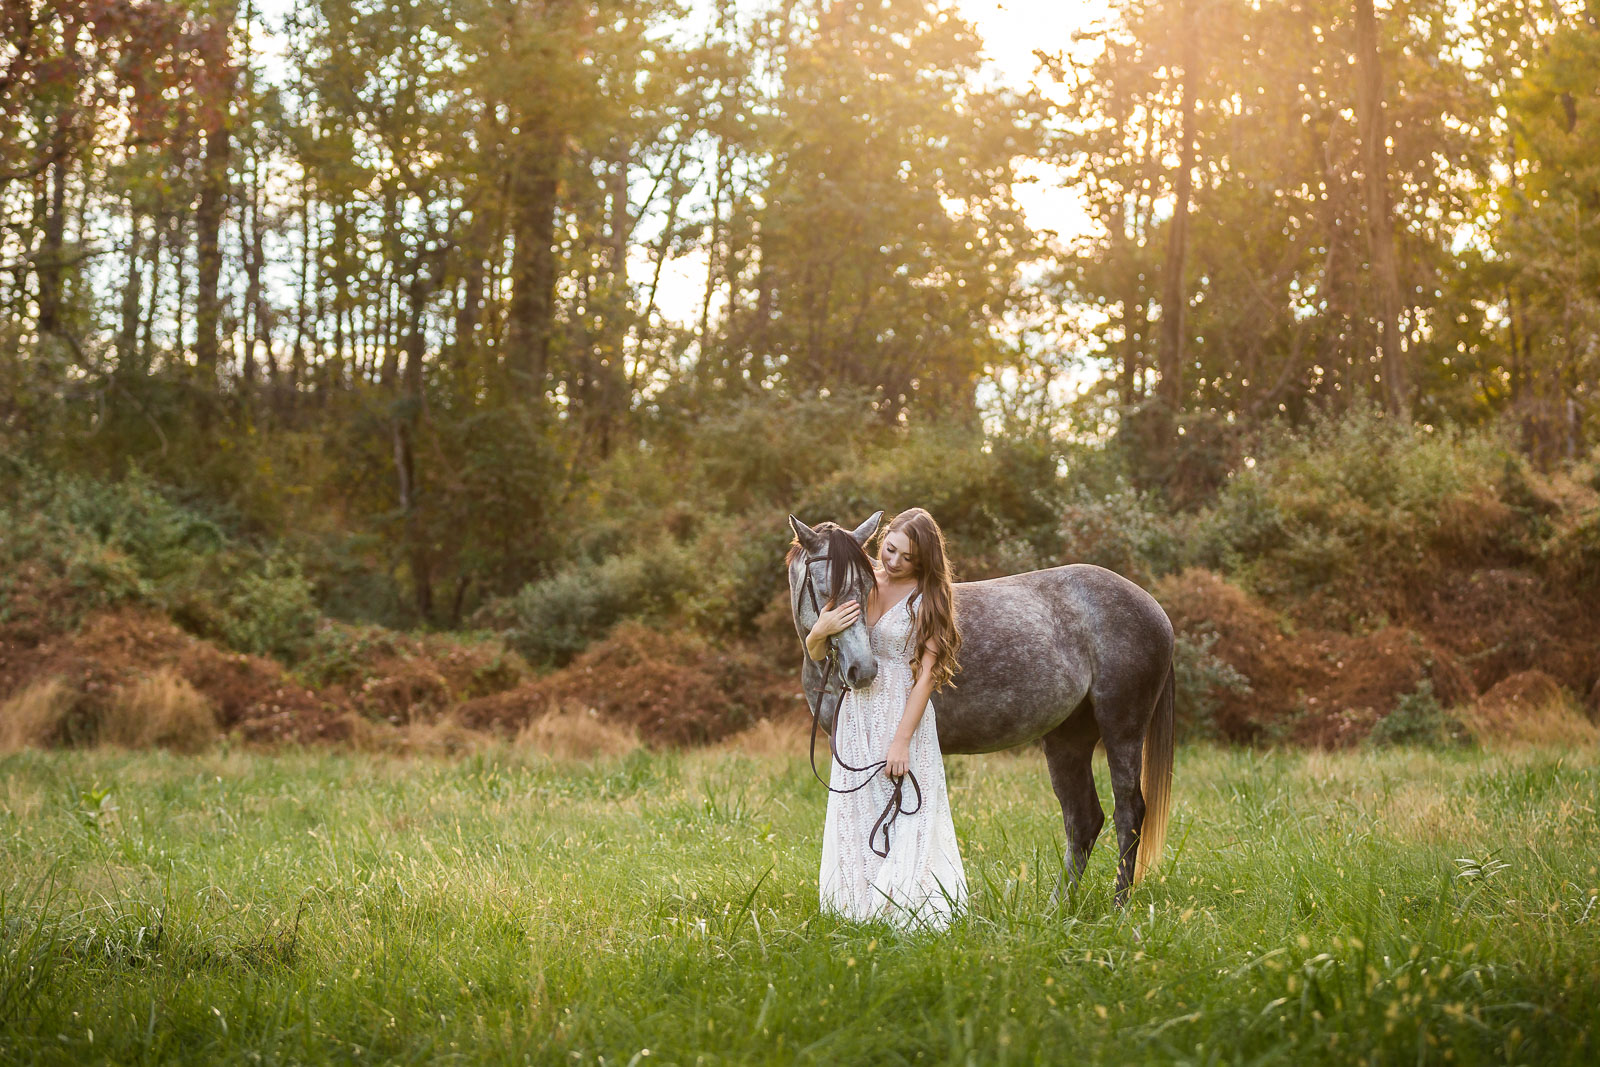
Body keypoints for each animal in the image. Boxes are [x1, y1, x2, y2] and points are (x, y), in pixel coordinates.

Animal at [787, 511, 1175, 908]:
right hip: (1067, 739)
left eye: (867, 587)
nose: (862, 669)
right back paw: (1058, 909)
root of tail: (1152, 606)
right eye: (824, 589)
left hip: (1122, 729)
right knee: (1083, 819)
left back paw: (1119, 906)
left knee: (1128, 812)